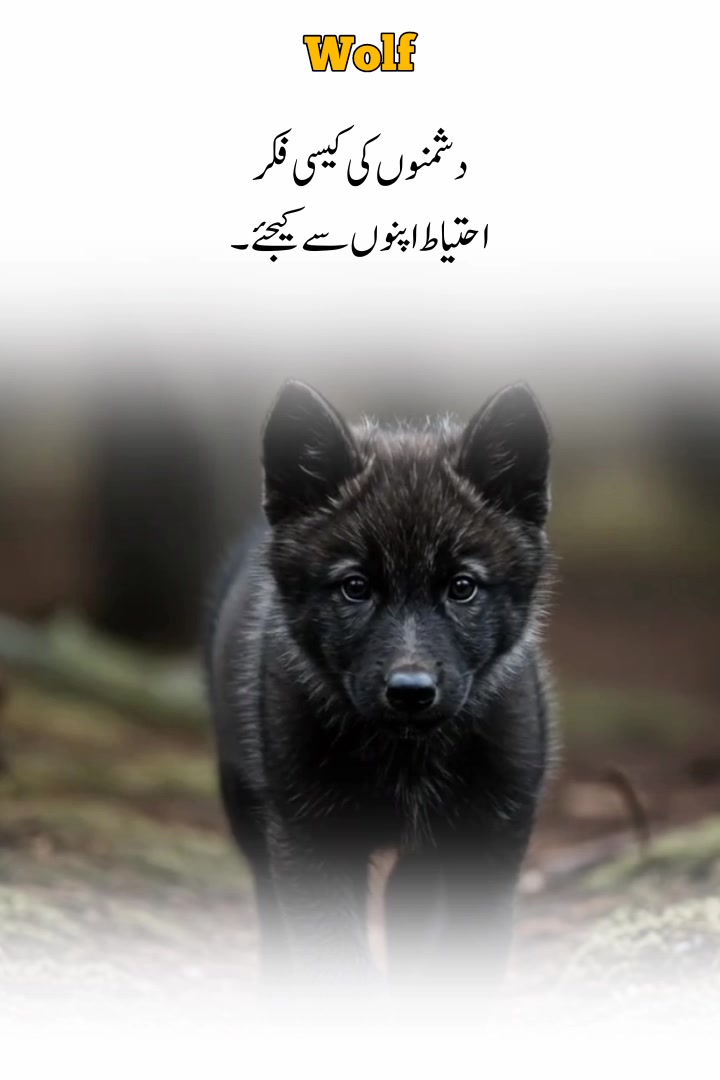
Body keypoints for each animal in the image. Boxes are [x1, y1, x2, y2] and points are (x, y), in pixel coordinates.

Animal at [205, 380, 554, 989]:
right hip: (246, 802)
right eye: (355, 587)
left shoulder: (491, 837)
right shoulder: (309, 837)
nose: (410, 691)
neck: (407, 758)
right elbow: (335, 962)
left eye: (462, 587)